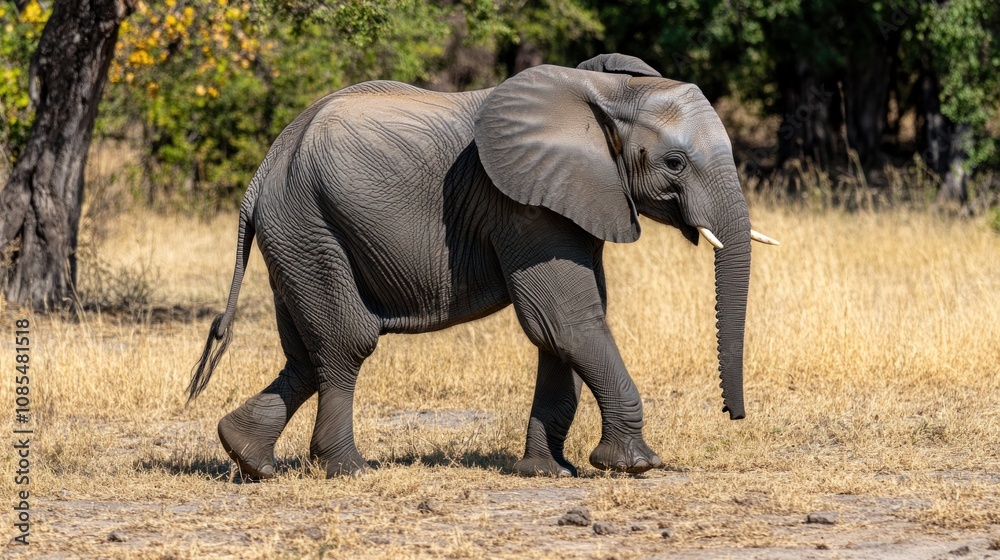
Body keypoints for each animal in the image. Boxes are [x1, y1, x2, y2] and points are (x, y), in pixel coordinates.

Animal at [189, 53, 779, 480]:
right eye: (674, 163)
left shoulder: (571, 197)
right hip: (308, 224)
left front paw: (547, 473)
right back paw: (347, 470)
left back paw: (249, 458)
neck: (606, 92)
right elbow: (566, 321)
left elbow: (560, 332)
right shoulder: (520, 205)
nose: (734, 415)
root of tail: (260, 174)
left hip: (295, 235)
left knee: (306, 353)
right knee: (346, 341)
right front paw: (635, 466)